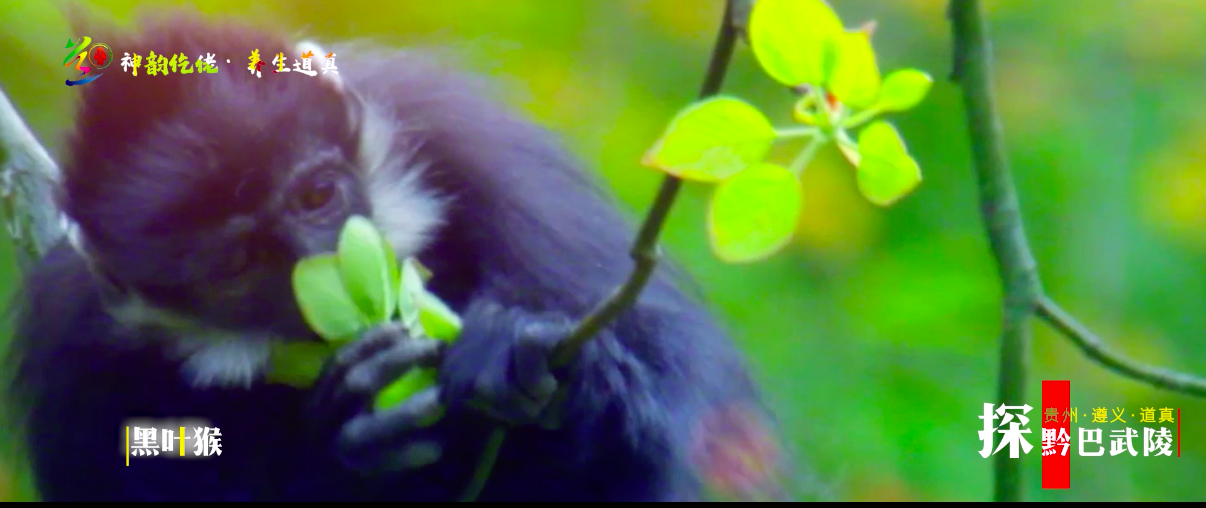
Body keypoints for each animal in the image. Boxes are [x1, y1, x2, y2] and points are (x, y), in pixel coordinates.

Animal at [2, 11, 771, 501]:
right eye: (238, 262)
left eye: (316, 196)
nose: (325, 262)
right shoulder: (70, 343)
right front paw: (353, 418)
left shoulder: (475, 144)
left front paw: (527, 353)